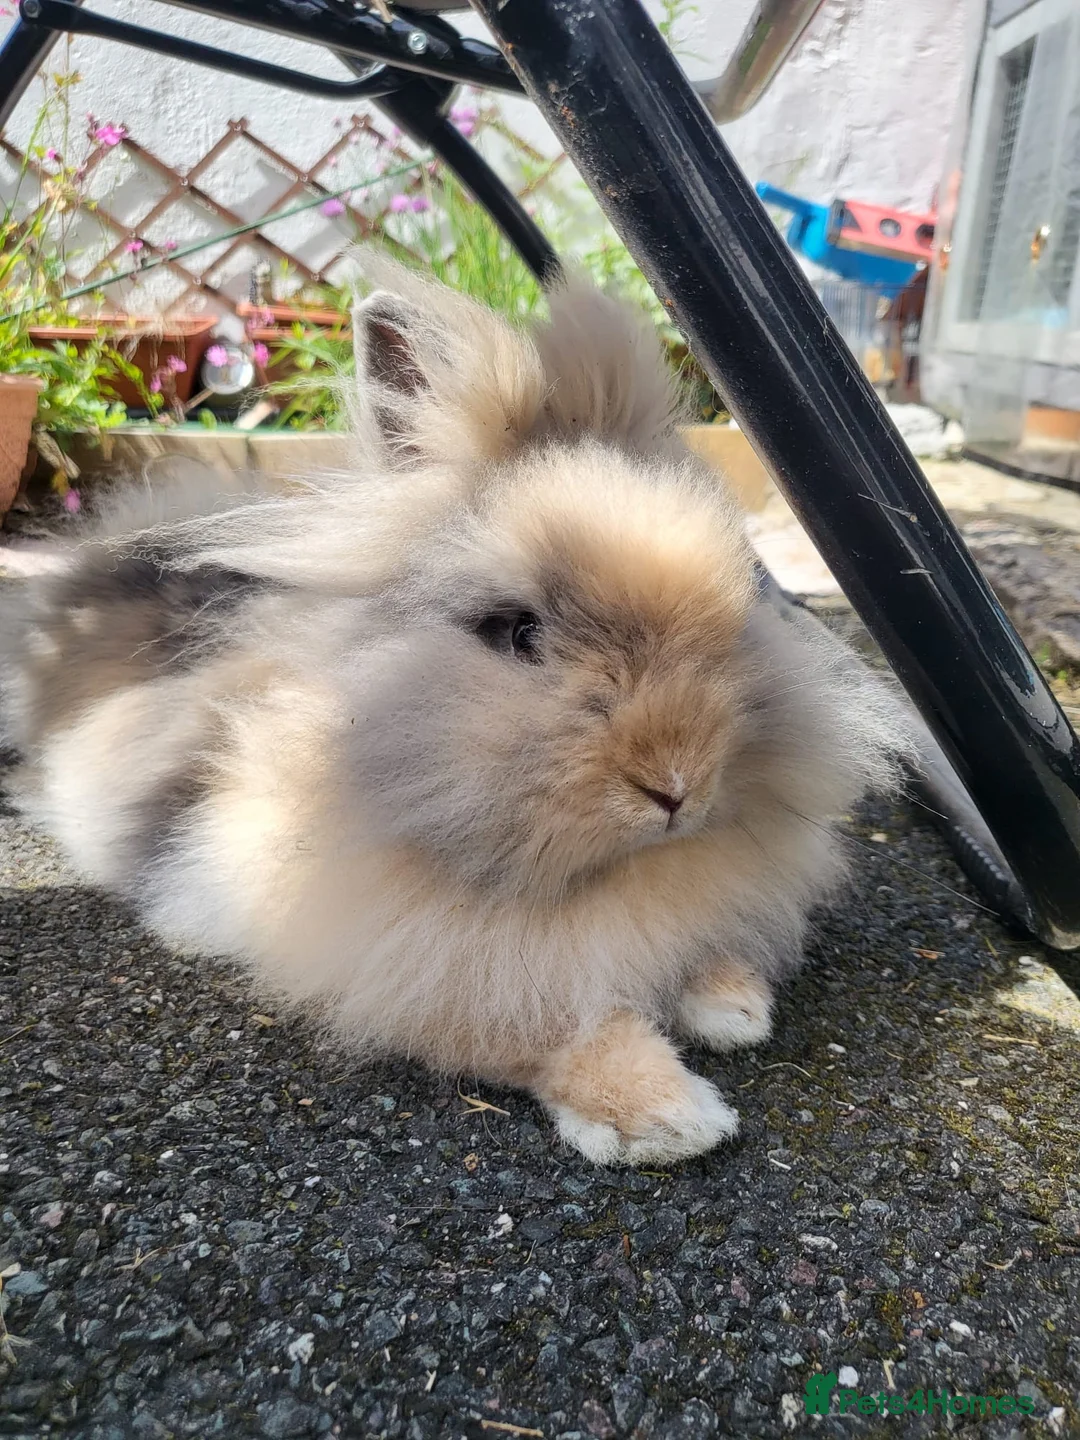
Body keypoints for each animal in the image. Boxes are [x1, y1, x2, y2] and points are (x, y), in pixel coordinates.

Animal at [0, 270, 911, 1165]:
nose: (677, 786)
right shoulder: (421, 967)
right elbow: (548, 1029)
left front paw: (733, 1007)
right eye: (517, 632)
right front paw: (664, 1115)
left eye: (737, 602)